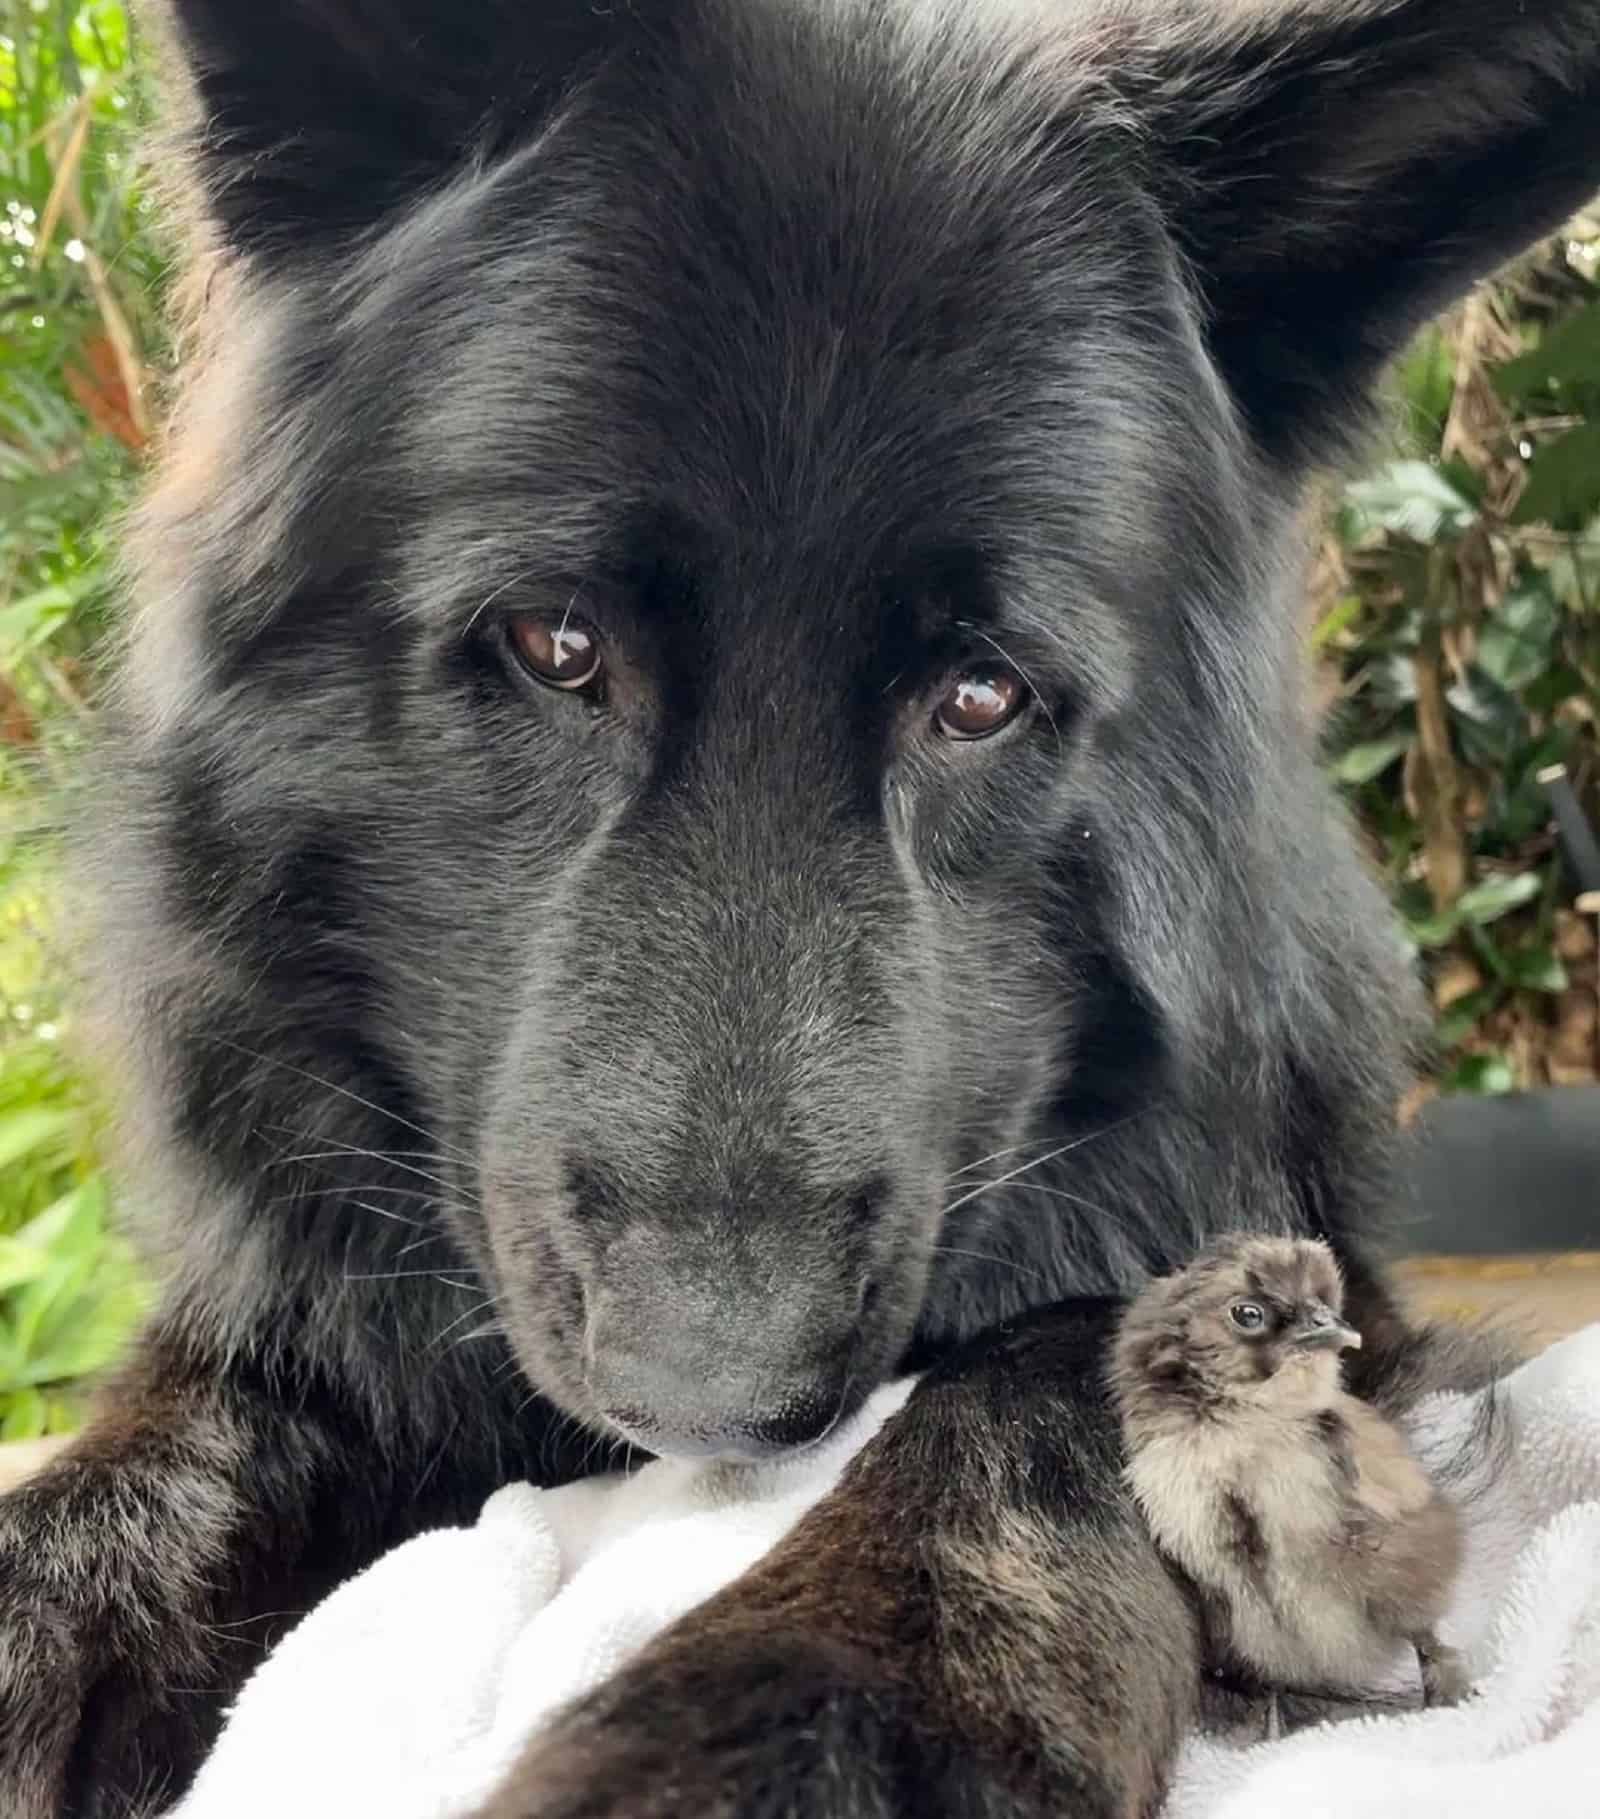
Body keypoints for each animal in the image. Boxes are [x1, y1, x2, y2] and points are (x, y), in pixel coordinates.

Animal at [3, 3, 1600, 1819]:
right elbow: (144, 1452)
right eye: (556, 641)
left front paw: (829, 1695)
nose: (709, 1395)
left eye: (981, 695)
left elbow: (1037, 1397)